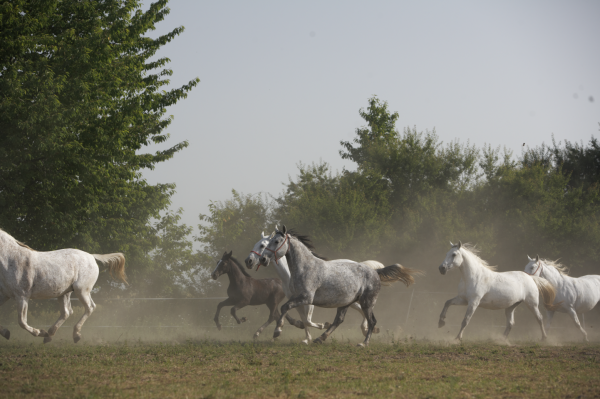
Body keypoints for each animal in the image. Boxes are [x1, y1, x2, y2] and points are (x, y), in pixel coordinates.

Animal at [258, 227, 422, 348]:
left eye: (276, 241)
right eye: (268, 242)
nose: (263, 259)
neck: (306, 267)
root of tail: (375, 272)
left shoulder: (306, 298)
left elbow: (286, 308)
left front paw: (277, 331)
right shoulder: (297, 297)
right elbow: (290, 312)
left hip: (367, 303)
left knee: (372, 321)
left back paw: (363, 343)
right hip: (345, 303)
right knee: (339, 320)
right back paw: (321, 338)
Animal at [436, 242, 564, 342]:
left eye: (454, 254)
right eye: (446, 254)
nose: (441, 268)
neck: (473, 277)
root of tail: (530, 277)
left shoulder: (473, 302)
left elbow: (465, 320)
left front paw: (458, 338)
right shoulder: (463, 300)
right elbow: (447, 302)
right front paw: (441, 322)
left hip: (532, 304)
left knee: (539, 318)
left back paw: (544, 338)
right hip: (511, 306)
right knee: (510, 323)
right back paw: (501, 339)